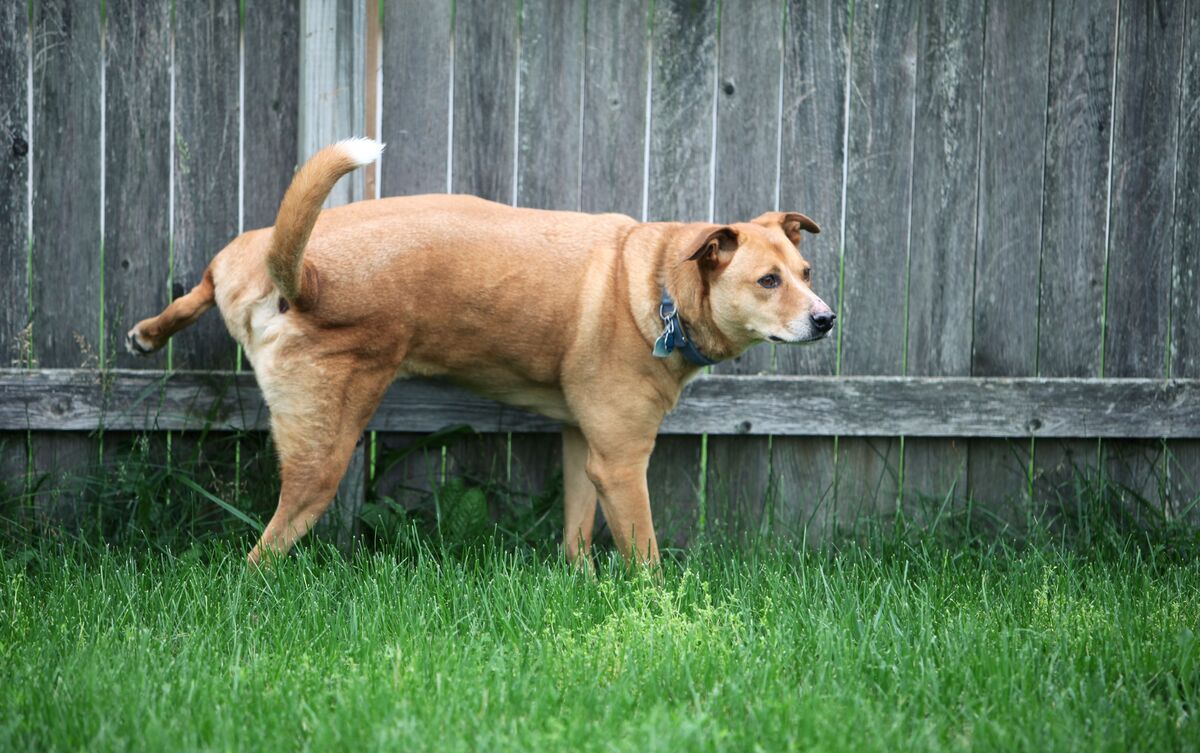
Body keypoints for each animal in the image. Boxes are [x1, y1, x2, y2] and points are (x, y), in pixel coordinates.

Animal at [124, 139, 835, 565]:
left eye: (805, 272)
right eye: (768, 282)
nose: (827, 319)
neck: (659, 280)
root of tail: (302, 276)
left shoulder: (586, 446)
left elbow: (577, 532)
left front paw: (578, 583)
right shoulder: (623, 461)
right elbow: (646, 556)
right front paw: (656, 616)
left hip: (240, 256)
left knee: (202, 283)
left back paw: (152, 331)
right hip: (322, 452)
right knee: (262, 552)